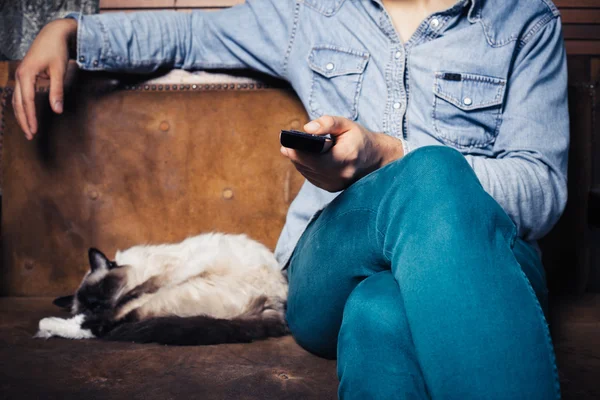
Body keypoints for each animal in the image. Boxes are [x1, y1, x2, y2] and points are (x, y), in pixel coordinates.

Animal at [36, 233, 290, 346]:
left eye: (103, 291)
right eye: (87, 305)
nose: (94, 309)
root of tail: (276, 307)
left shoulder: (160, 279)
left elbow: (130, 296)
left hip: (173, 293)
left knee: (106, 326)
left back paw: (47, 325)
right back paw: (49, 326)